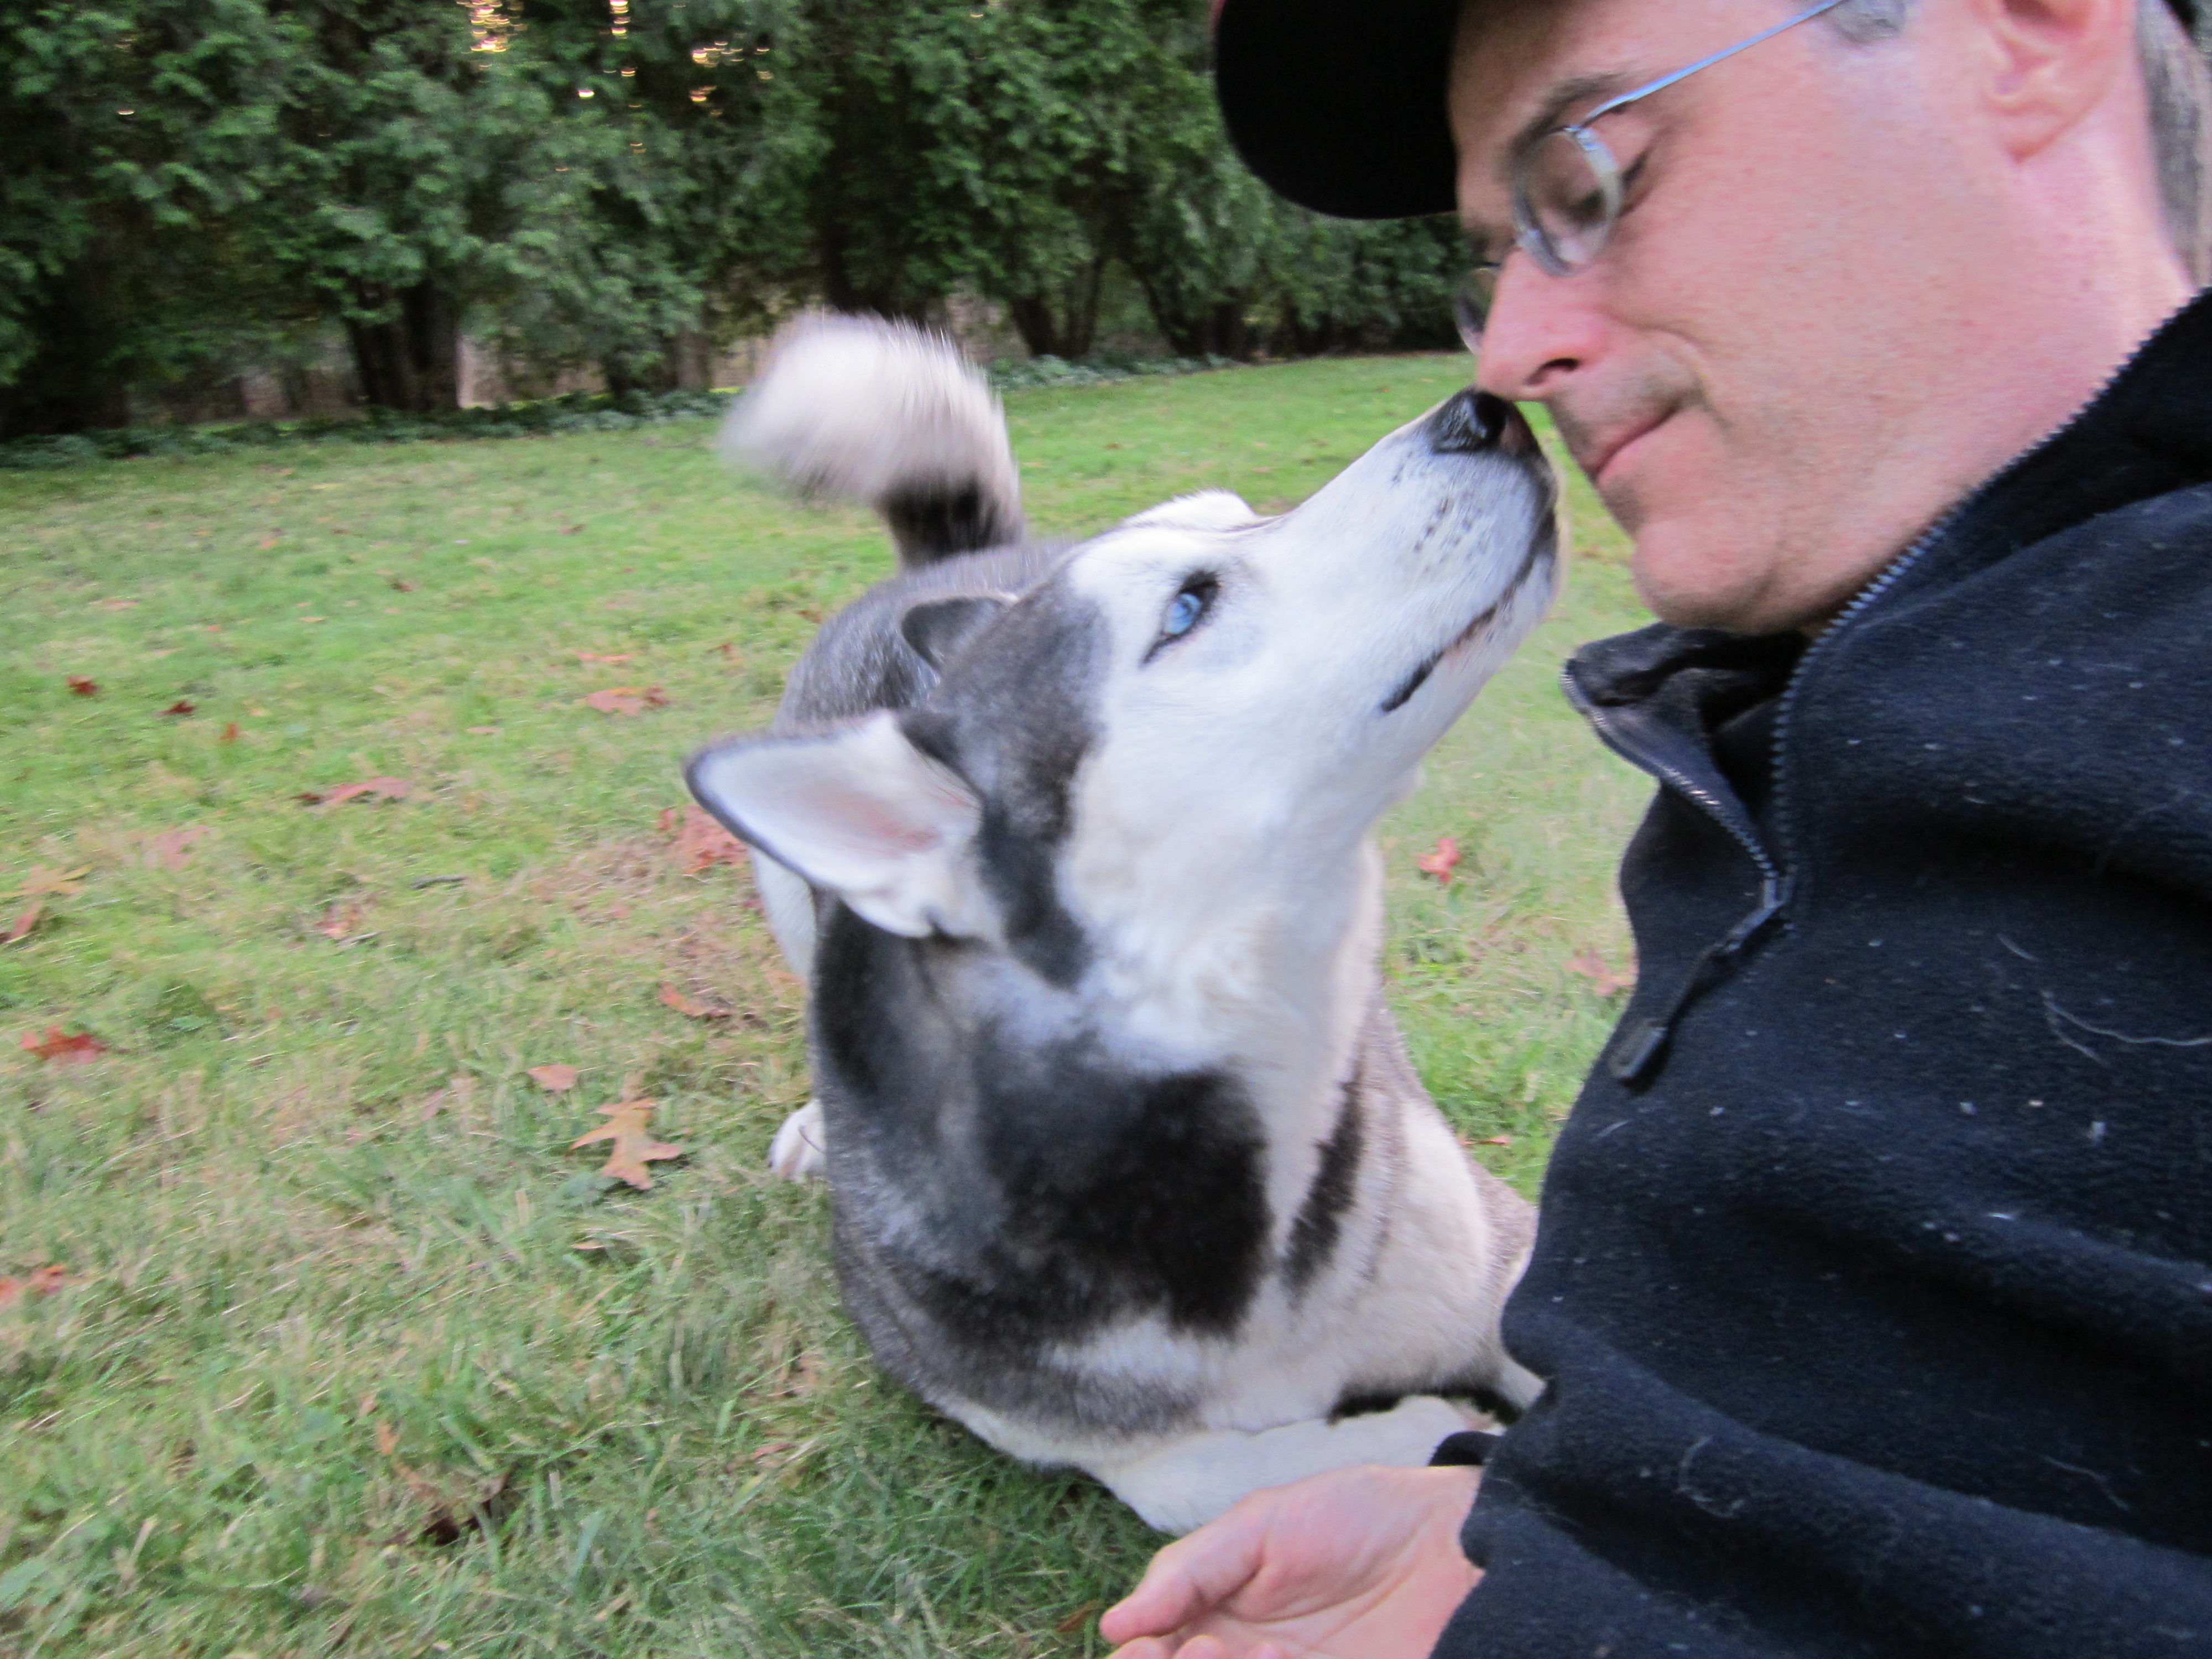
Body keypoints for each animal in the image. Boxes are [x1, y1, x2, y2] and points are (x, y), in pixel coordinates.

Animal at [687, 316, 1558, 1533]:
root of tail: (950, 571)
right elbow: (1196, 1483)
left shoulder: (1504, 1255)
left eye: (1240, 518)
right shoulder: (1058, 1424)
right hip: (786, 899)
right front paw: (1418, 1435)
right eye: (1190, 606)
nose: (1485, 408)